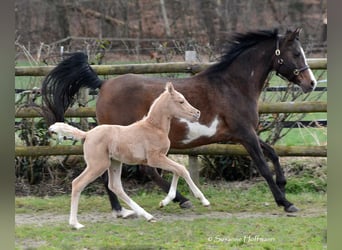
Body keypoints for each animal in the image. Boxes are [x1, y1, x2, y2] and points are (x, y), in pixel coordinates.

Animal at [48, 82, 208, 229]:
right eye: (181, 101)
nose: (197, 113)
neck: (154, 128)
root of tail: (86, 134)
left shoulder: (161, 157)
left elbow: (177, 171)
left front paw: (165, 201)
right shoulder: (155, 158)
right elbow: (181, 169)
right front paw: (203, 199)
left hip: (114, 163)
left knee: (115, 186)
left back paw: (147, 216)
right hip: (98, 165)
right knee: (78, 183)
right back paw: (75, 223)